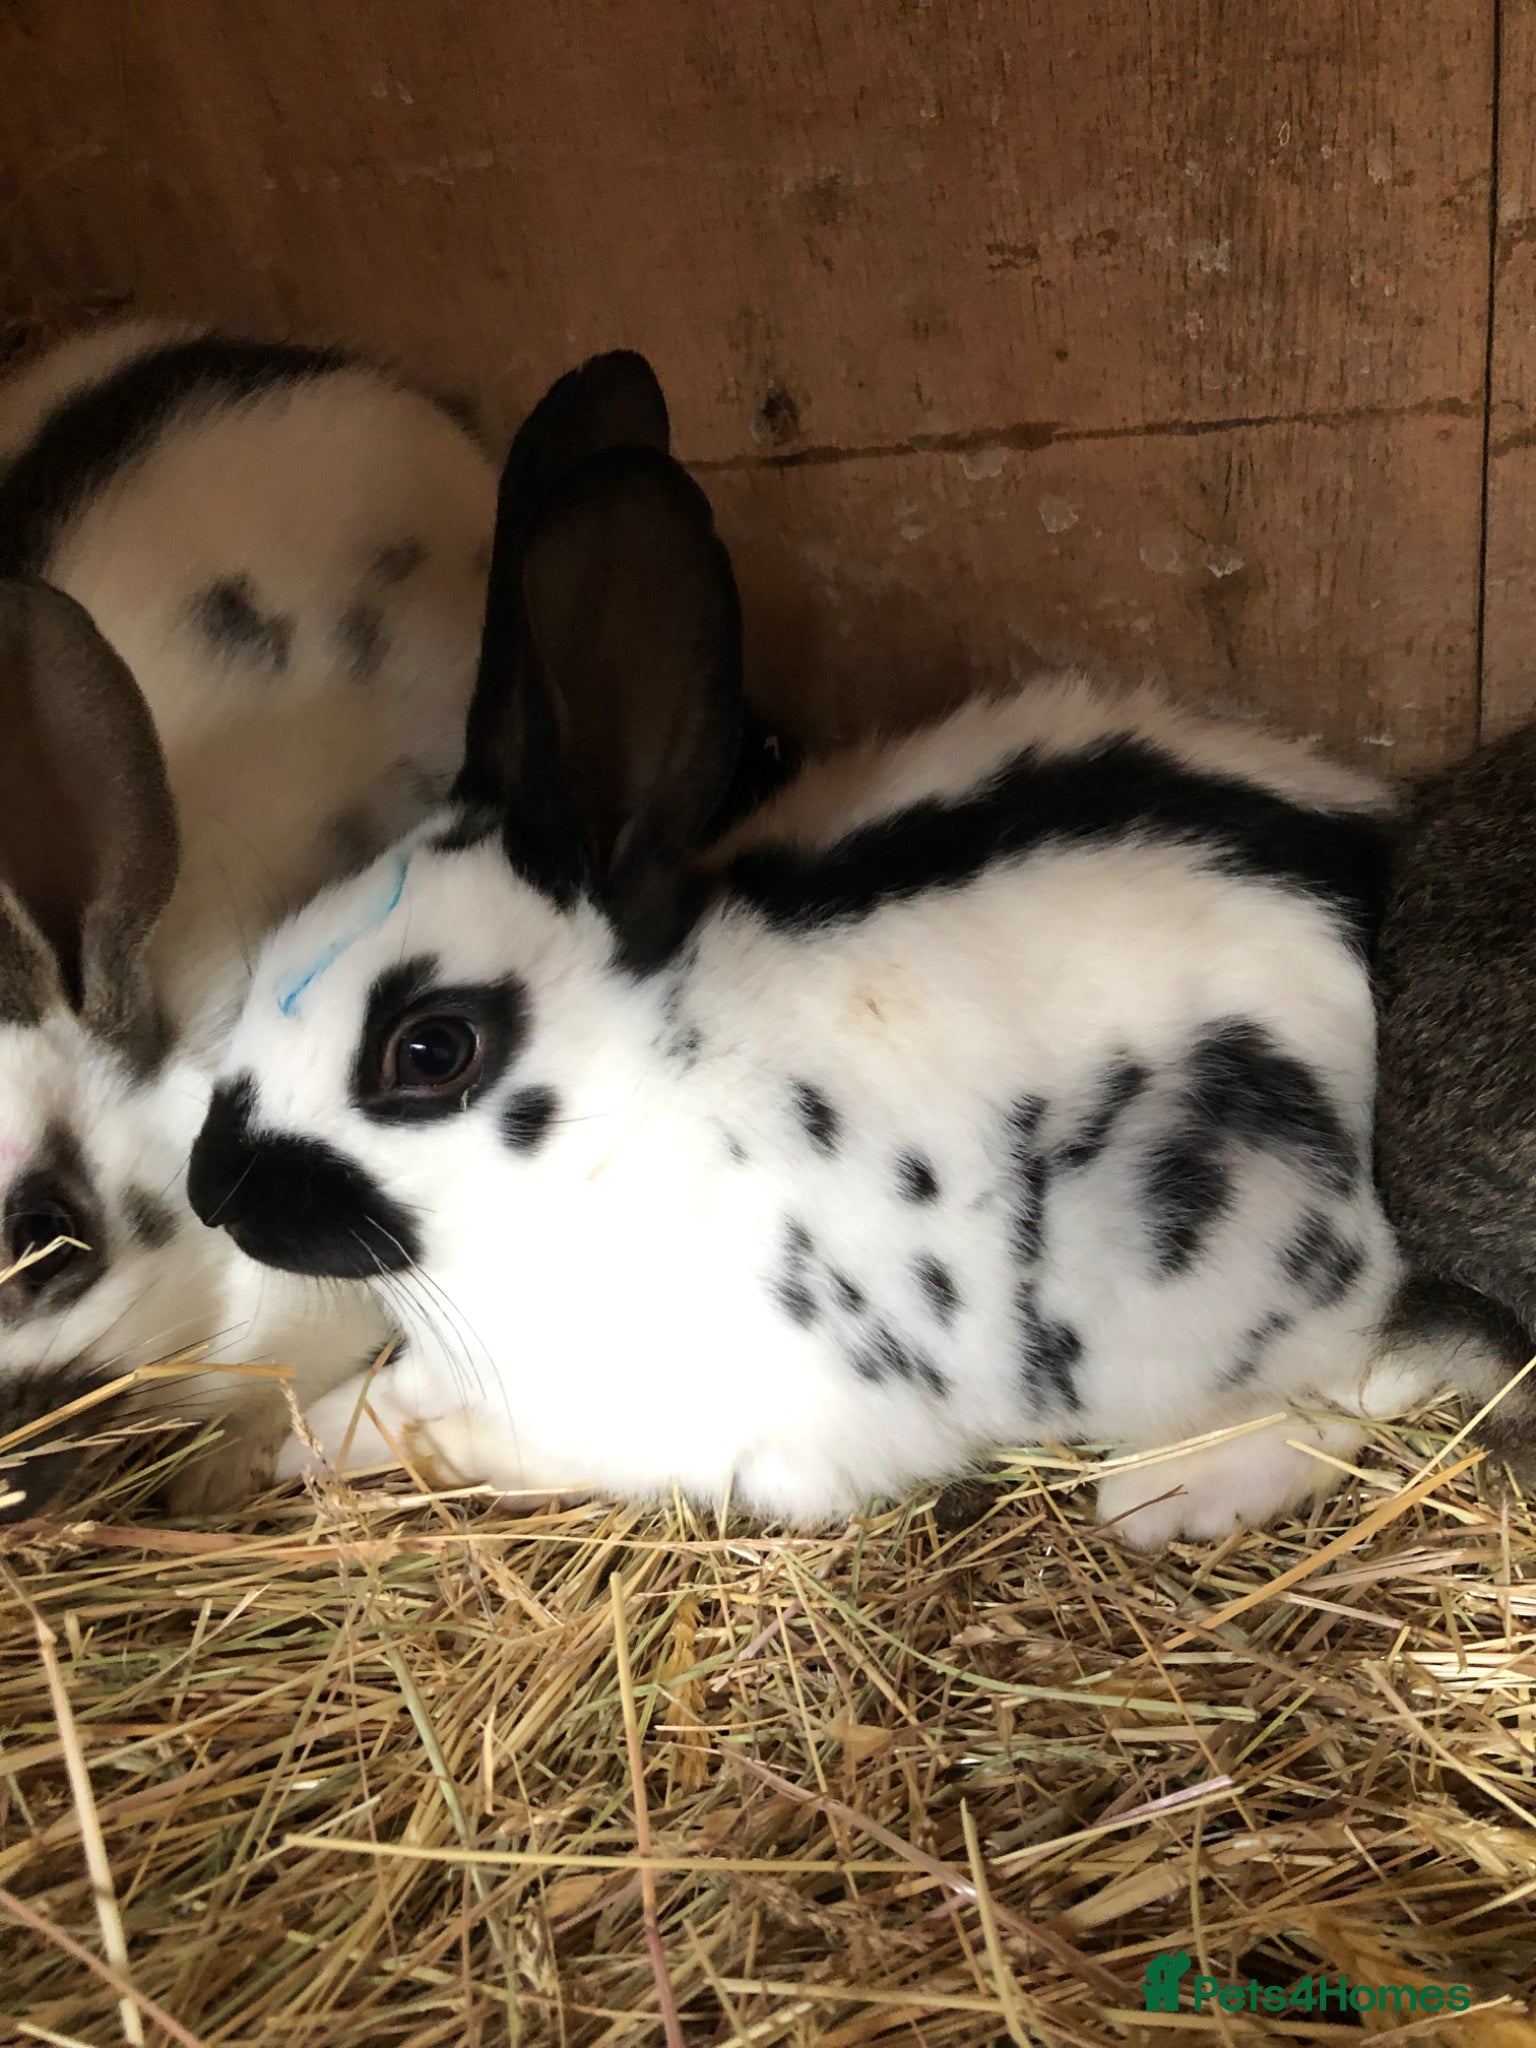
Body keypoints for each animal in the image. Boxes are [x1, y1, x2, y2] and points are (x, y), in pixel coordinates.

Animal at [183, 348, 1463, 1549]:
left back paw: (1172, 1487)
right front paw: (304, 1440)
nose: (211, 1190)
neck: (632, 1108)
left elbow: (504, 1447)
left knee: (1369, 1373)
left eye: (432, 1048)